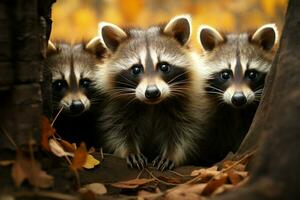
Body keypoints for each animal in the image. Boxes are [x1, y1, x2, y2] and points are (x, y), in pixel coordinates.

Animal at [96, 15, 211, 170]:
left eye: (164, 66)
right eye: (136, 69)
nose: (152, 92)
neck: (152, 105)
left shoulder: (187, 106)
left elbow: (183, 132)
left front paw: (170, 154)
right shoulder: (116, 107)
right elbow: (118, 131)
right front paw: (130, 151)